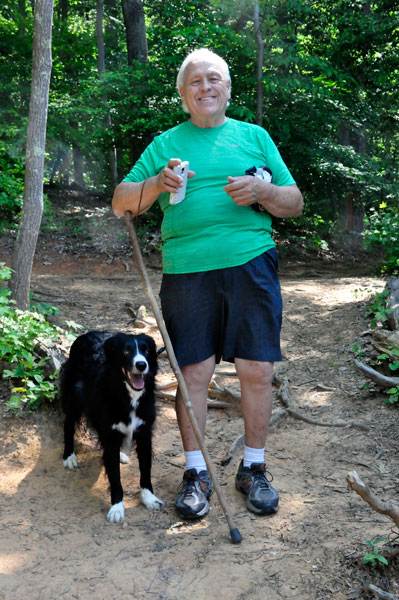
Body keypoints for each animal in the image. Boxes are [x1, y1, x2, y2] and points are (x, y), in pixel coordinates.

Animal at [61, 330, 164, 524]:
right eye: (126, 351)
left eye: (146, 350)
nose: (141, 365)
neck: (128, 395)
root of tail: (87, 334)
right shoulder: (110, 436)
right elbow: (115, 477)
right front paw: (117, 507)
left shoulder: (144, 434)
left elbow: (145, 470)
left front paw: (149, 498)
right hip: (74, 397)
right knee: (68, 425)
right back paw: (69, 455)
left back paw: (121, 454)